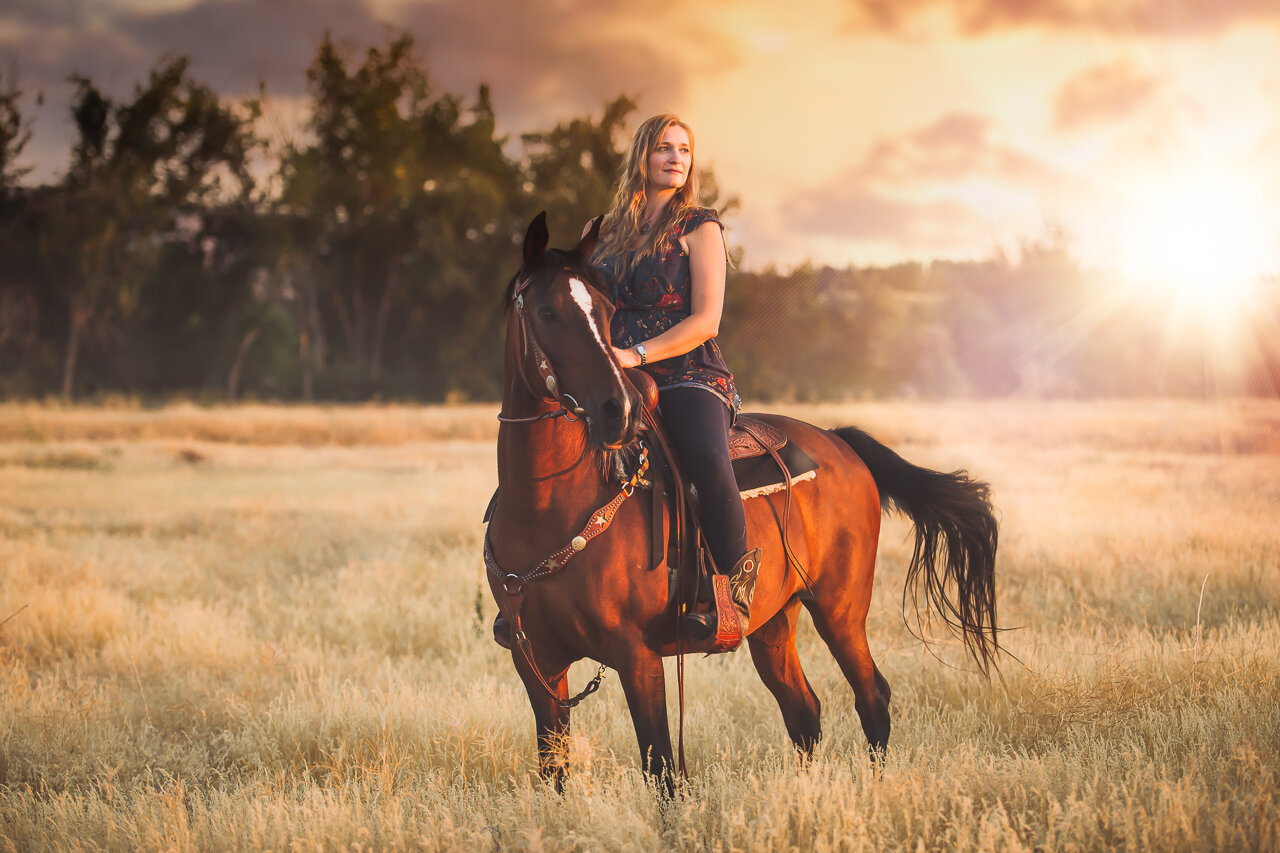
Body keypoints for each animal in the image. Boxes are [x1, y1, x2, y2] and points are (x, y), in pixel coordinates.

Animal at [483, 213, 993, 788]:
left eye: (608, 312)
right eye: (547, 312)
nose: (621, 410)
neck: (546, 508)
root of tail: (839, 441)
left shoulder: (637, 656)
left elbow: (662, 768)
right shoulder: (537, 664)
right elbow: (554, 770)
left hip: (839, 608)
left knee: (872, 698)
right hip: (773, 621)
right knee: (803, 711)